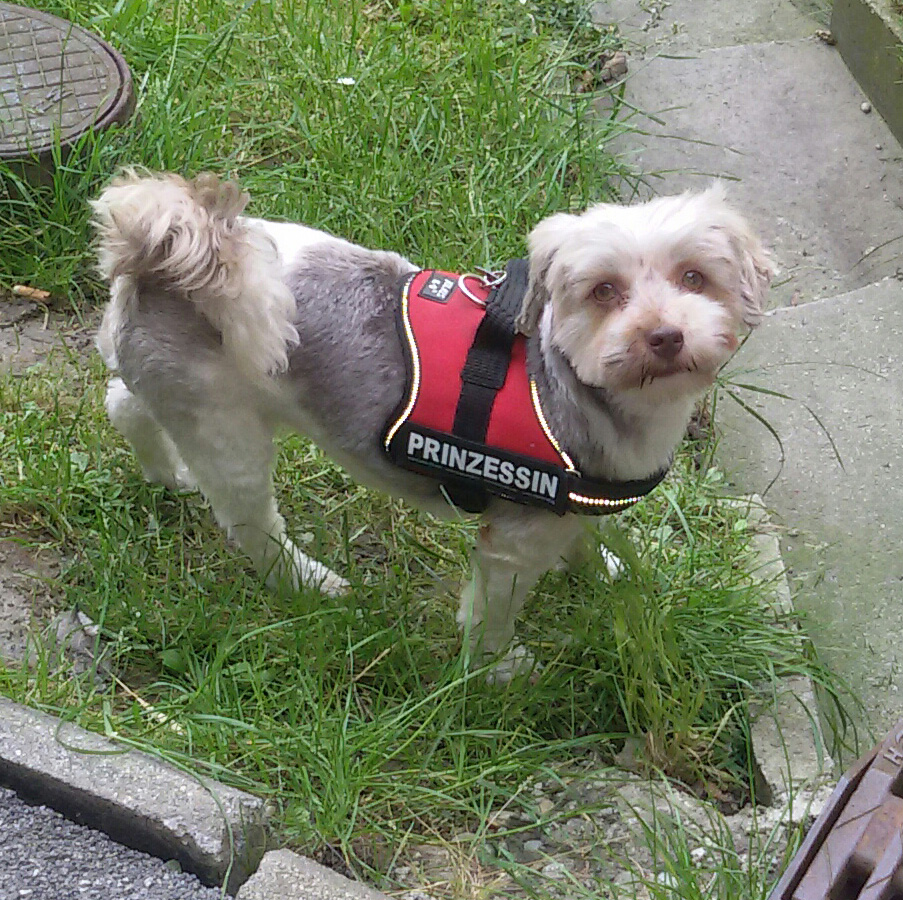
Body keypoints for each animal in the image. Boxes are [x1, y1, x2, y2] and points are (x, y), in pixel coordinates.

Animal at [91, 172, 771, 681]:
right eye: (604, 291)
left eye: (694, 277)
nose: (664, 335)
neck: (574, 383)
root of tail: (167, 249)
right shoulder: (513, 543)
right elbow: (493, 615)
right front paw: (499, 669)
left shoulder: (571, 505)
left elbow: (584, 539)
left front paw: (601, 572)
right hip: (228, 430)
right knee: (250, 528)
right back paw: (310, 581)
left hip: (175, 386)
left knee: (124, 403)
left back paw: (166, 472)